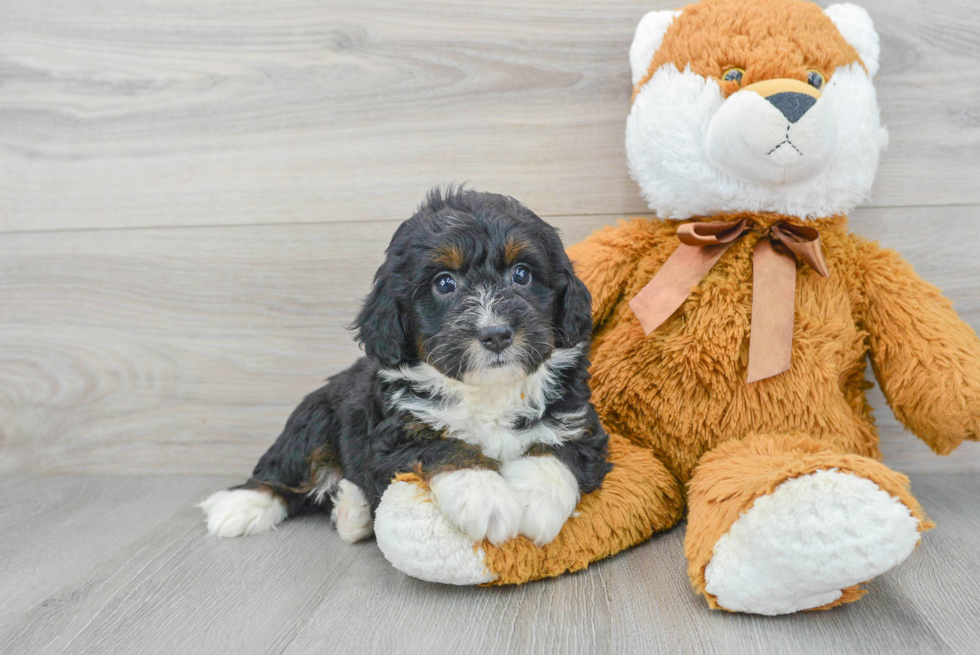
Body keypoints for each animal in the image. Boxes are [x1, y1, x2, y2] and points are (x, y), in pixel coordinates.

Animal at [199, 187, 608, 544]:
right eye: (444, 283)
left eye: (522, 274)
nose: (495, 334)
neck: (488, 390)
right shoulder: (393, 436)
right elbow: (445, 444)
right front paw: (485, 498)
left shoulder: (578, 419)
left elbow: (560, 450)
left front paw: (535, 502)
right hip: (313, 421)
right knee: (284, 472)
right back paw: (241, 505)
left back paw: (352, 511)